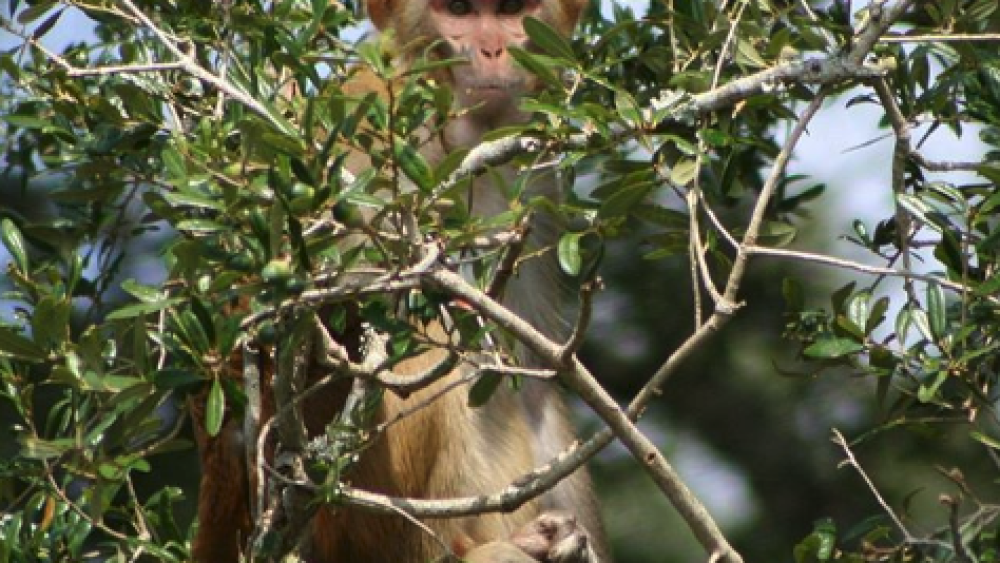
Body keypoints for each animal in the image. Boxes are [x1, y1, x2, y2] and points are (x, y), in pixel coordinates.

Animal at [189, 1, 608, 562]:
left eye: (511, 11)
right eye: (459, 12)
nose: (492, 50)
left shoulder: (535, 184)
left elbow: (533, 379)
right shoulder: (359, 129)